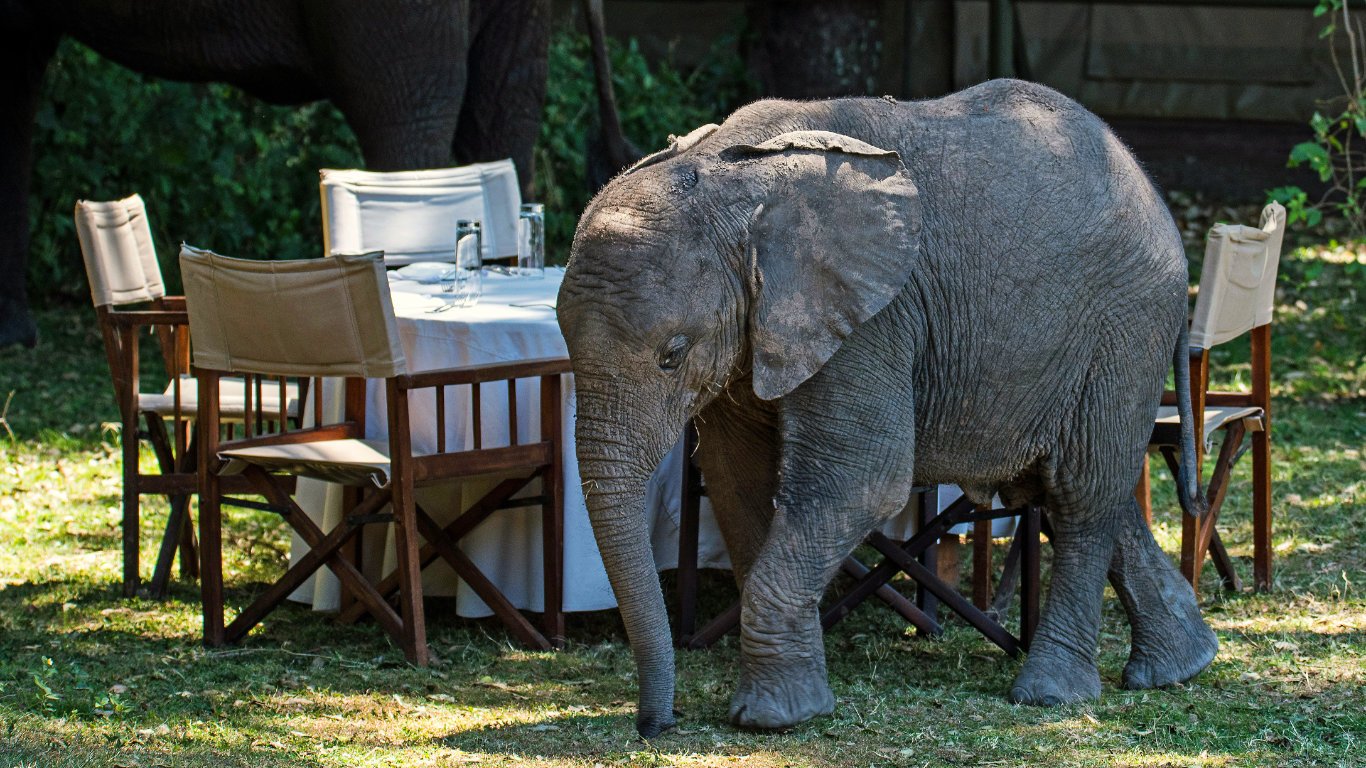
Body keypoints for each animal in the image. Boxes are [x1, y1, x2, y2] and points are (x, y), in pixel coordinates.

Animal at [556, 78, 1219, 737]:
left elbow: (860, 482)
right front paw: (797, 702)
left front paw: (771, 719)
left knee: (1081, 493)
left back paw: (1051, 694)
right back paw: (1179, 667)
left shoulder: (874, 318)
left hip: (1126, 324)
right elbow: (737, 481)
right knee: (1075, 489)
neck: (732, 172)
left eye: (673, 354)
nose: (658, 726)